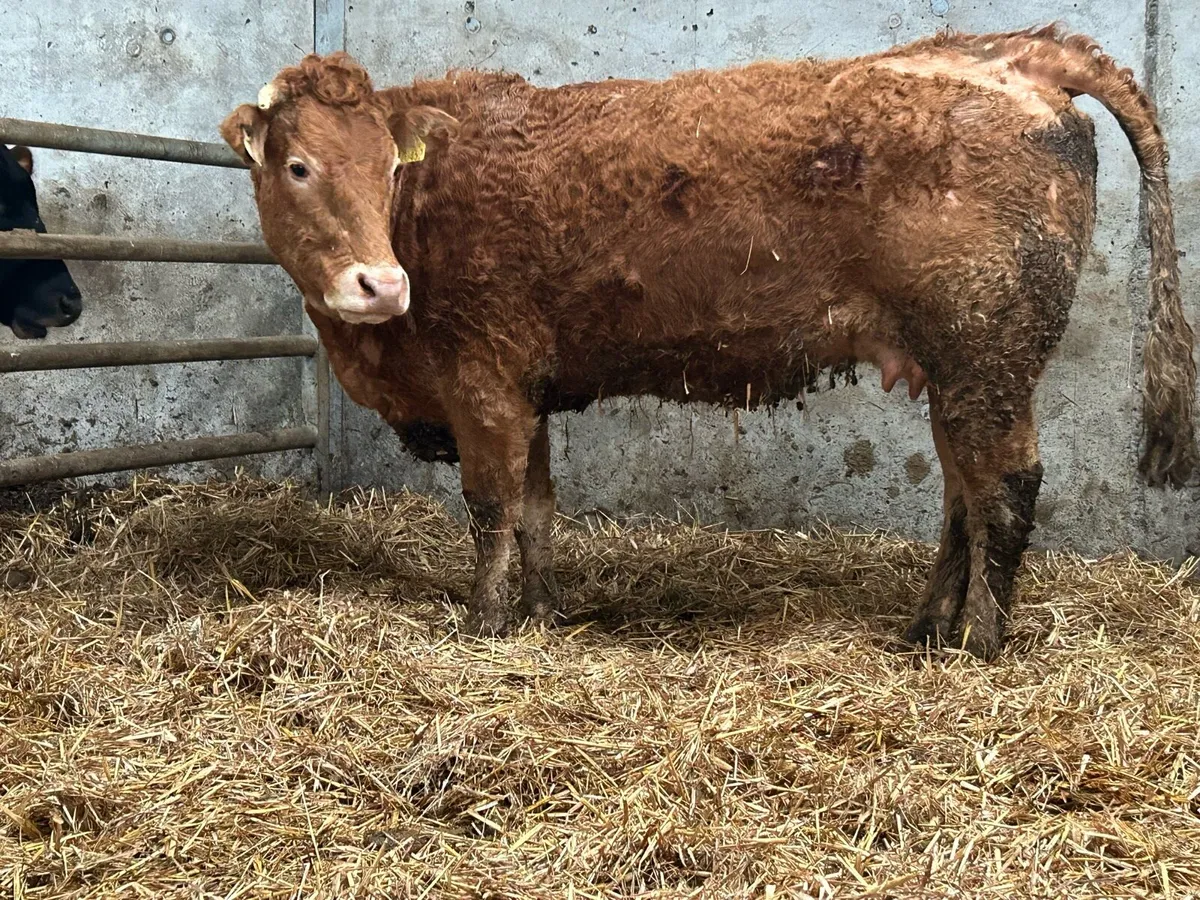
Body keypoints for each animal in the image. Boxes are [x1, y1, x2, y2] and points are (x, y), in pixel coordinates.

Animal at [222, 25, 1196, 659]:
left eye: (388, 167)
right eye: (298, 166)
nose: (380, 285)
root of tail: (1015, 50)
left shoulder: (483, 380)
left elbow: (492, 507)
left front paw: (486, 624)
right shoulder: (529, 390)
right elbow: (539, 508)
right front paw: (544, 614)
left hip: (987, 354)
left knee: (1006, 488)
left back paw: (981, 645)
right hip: (952, 367)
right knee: (964, 492)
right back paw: (926, 631)